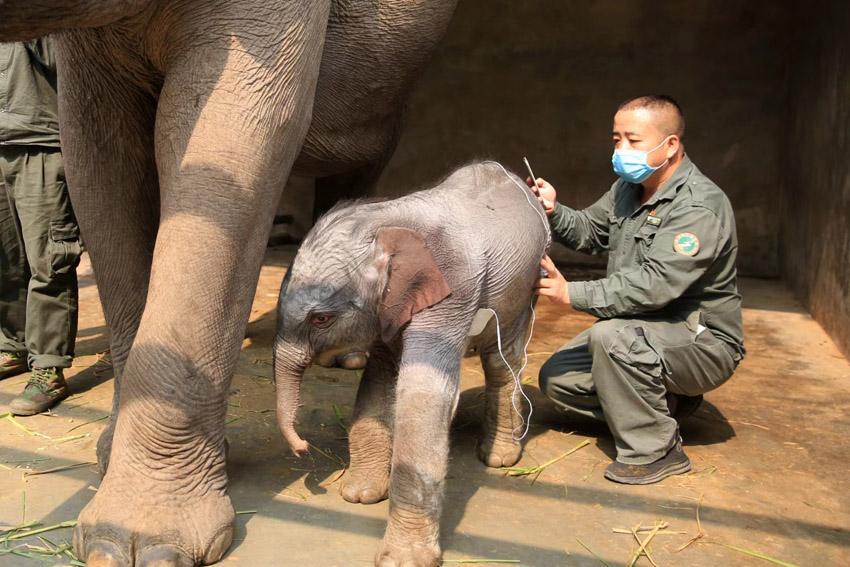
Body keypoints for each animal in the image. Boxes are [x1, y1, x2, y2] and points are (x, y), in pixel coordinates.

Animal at [275, 161, 551, 565]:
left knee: (503, 360)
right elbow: (380, 378)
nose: (302, 448)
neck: (386, 219)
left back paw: (499, 459)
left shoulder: (453, 287)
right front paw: (359, 494)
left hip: (527, 286)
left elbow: (424, 394)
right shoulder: (390, 309)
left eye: (320, 319)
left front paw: (402, 559)